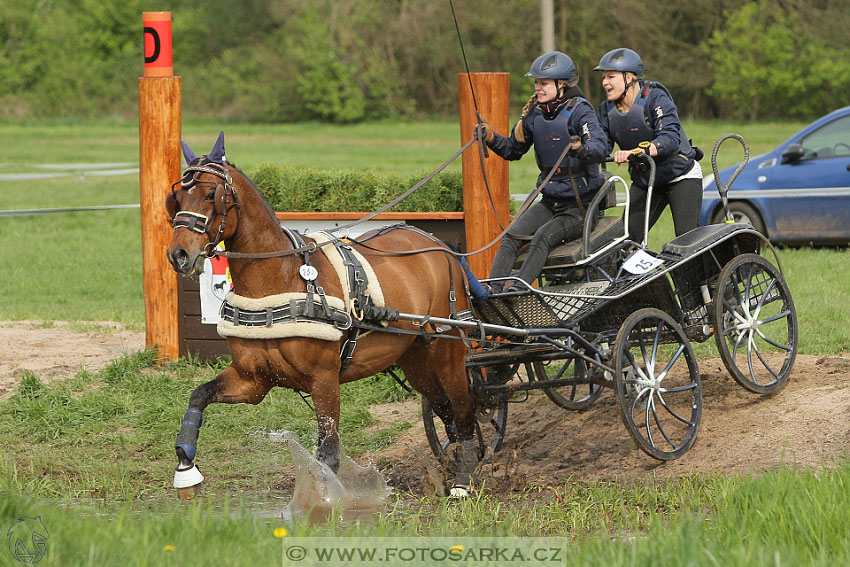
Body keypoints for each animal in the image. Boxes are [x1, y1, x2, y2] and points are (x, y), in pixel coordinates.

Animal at [162, 133, 474, 496]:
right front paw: (186, 467)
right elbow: (199, 394)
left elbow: (328, 454)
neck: (280, 281)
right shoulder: (253, 380)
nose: (179, 255)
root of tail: (440, 246)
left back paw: (463, 479)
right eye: (176, 198)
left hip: (447, 352)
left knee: (464, 409)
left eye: (211, 194)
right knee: (446, 411)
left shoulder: (324, 379)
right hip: (416, 360)